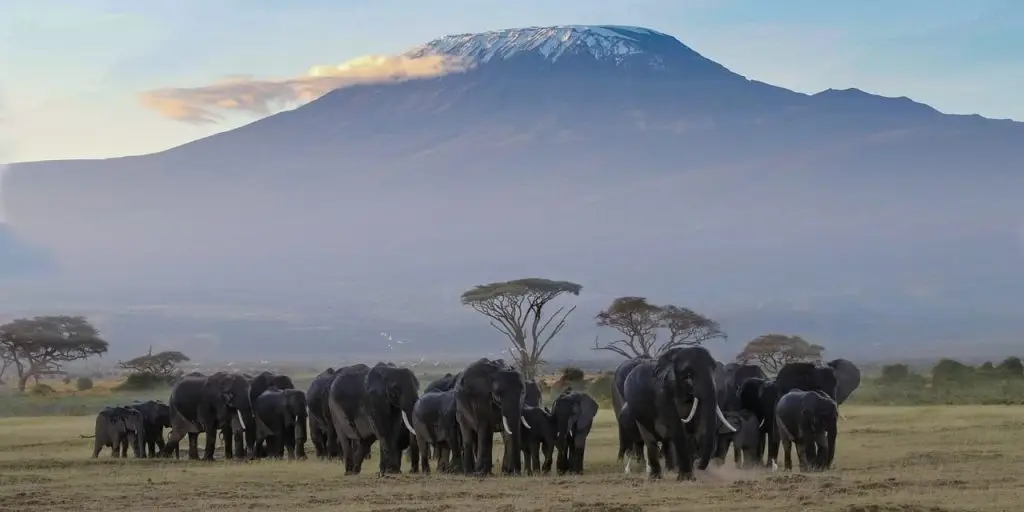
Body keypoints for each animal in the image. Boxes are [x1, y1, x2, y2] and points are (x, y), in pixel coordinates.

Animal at [623, 346, 735, 480]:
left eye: (714, 369)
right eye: (688, 376)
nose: (699, 466)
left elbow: (697, 429)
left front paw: (690, 476)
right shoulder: (663, 395)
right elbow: (678, 429)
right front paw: (686, 478)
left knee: (666, 441)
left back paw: (669, 471)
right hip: (638, 415)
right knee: (650, 440)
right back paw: (655, 477)